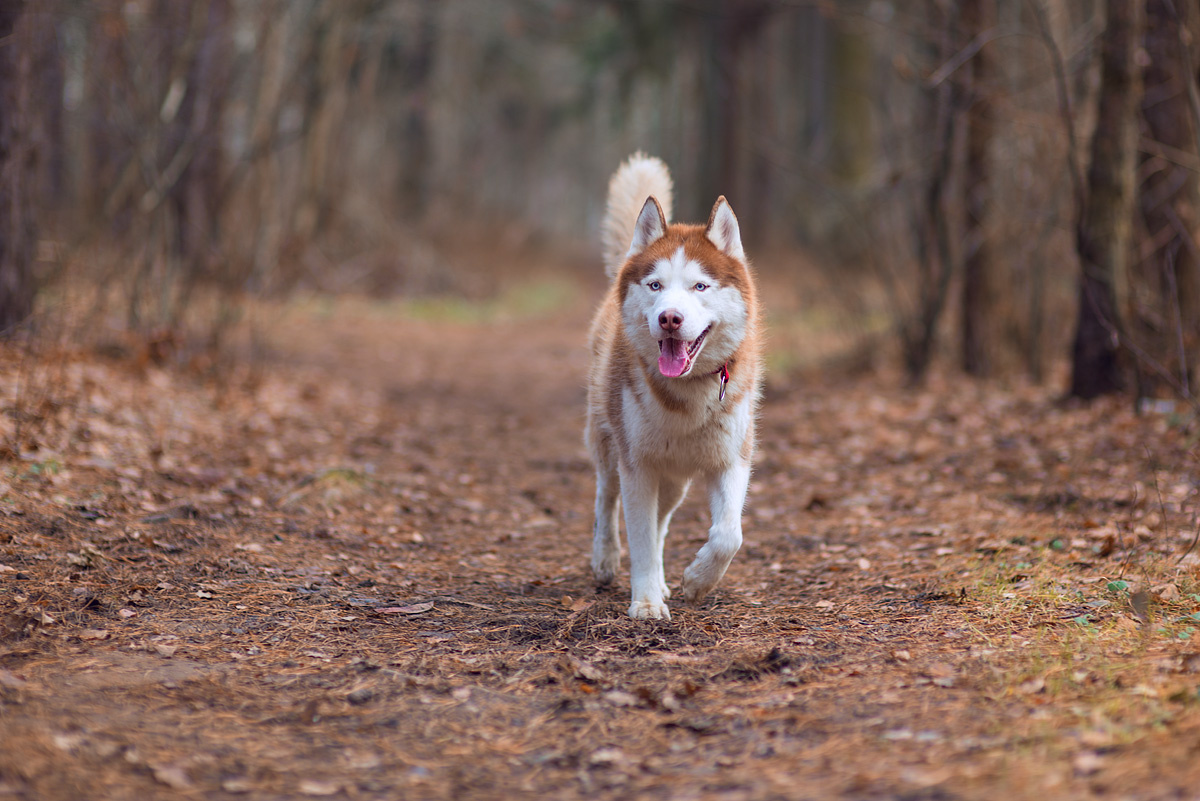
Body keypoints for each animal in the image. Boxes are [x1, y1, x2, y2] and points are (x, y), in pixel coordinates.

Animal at [585, 154, 763, 618]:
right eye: (656, 285)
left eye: (700, 285)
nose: (669, 318)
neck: (688, 396)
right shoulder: (638, 467)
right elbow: (641, 539)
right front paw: (646, 603)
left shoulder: (731, 460)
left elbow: (729, 535)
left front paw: (698, 580)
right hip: (608, 445)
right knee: (605, 499)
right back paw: (605, 557)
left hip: (676, 481)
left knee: (663, 521)